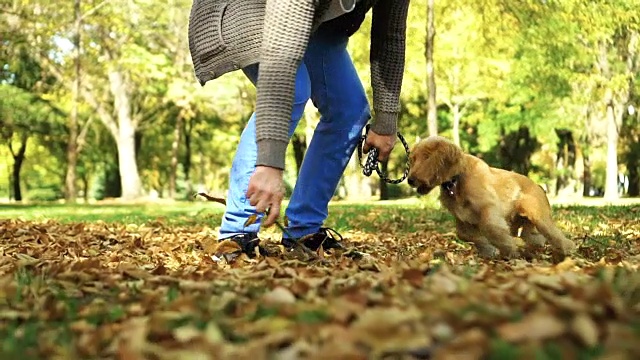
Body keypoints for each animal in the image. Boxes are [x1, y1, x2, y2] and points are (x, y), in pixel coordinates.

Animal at [408, 135, 576, 258]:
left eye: (427, 157)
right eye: (413, 159)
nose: (410, 180)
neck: (457, 180)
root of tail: (538, 186)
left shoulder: (488, 208)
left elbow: (491, 228)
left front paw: (508, 248)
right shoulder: (462, 218)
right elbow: (464, 234)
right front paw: (488, 250)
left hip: (539, 217)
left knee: (554, 234)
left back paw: (568, 249)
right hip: (522, 221)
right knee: (532, 235)